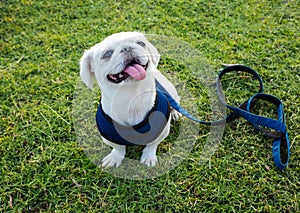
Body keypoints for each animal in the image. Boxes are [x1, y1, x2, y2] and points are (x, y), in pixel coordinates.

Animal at [79, 32, 180, 168]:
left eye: (141, 43)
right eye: (107, 54)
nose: (127, 48)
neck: (132, 97)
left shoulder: (162, 131)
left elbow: (152, 145)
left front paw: (148, 157)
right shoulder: (109, 137)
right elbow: (118, 148)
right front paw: (115, 158)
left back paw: (175, 112)